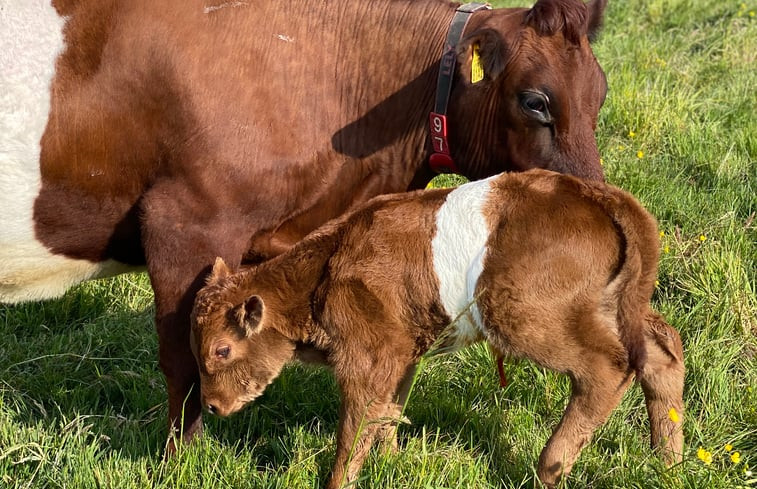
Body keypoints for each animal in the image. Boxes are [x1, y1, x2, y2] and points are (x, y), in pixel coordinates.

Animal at [1, 0, 608, 446]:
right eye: (535, 101)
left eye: (599, 96)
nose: (589, 204)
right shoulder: (183, 224)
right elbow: (185, 363)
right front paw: (179, 462)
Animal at [190, 169, 684, 488]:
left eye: (221, 350)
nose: (212, 406)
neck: (321, 274)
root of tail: (599, 195)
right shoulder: (401, 351)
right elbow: (388, 413)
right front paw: (390, 463)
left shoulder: (368, 355)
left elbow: (356, 427)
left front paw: (341, 480)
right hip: (617, 306)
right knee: (662, 348)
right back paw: (669, 463)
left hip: (521, 312)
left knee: (609, 366)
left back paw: (552, 467)